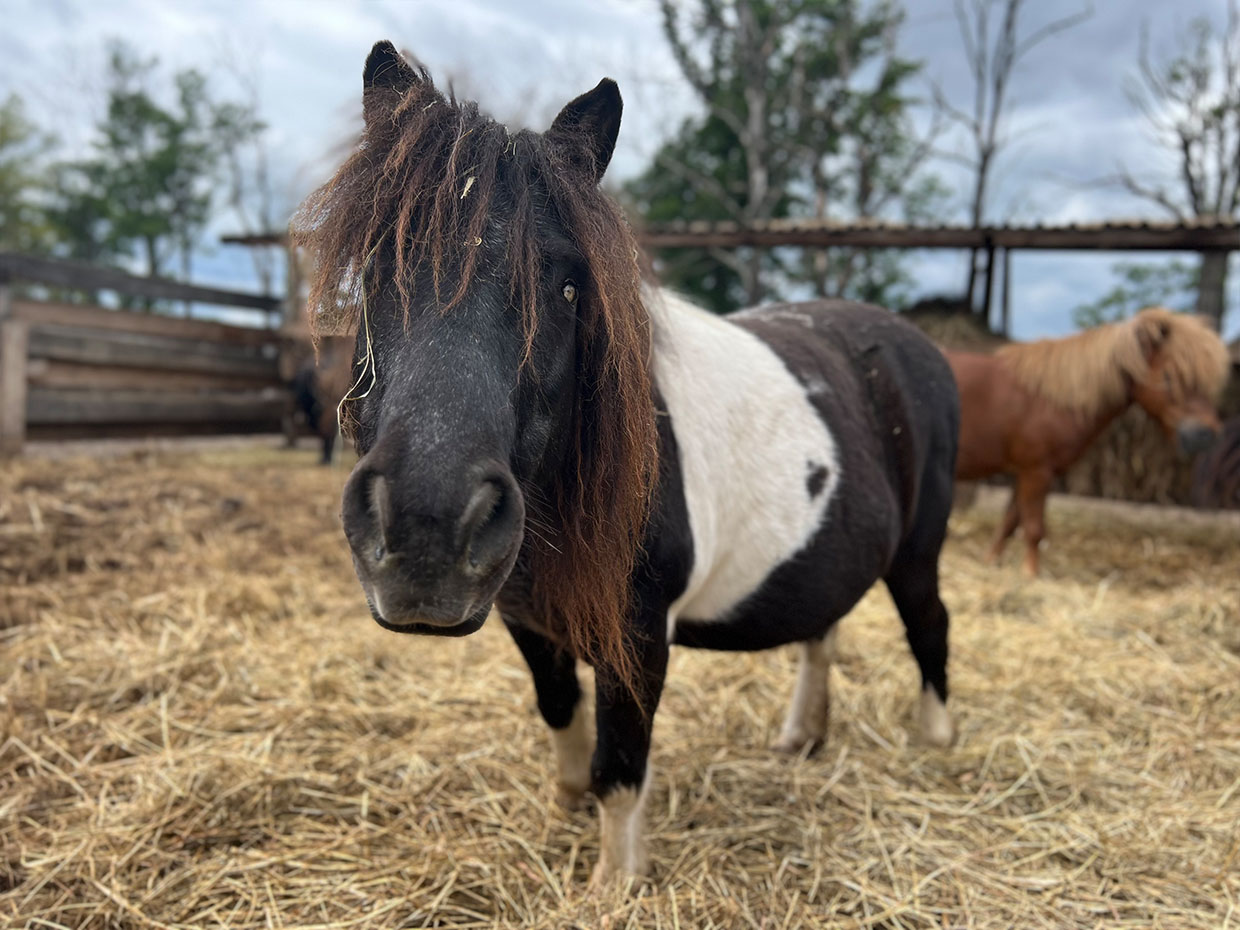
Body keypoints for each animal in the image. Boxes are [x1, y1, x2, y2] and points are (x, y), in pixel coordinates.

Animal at [295, 43, 962, 887]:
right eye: (379, 270)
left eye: (567, 287)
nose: (425, 531)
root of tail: (919, 348)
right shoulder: (526, 619)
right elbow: (562, 720)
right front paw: (563, 813)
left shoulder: (638, 635)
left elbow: (620, 766)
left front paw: (613, 886)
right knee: (823, 632)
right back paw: (802, 737)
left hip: (919, 552)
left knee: (930, 625)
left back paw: (934, 743)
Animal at [947, 310, 1230, 575]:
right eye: (1169, 375)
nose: (1205, 435)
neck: (1053, 399)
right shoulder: (1037, 472)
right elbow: (1034, 528)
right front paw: (1030, 574)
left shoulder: (1027, 472)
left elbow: (1010, 522)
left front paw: (991, 562)